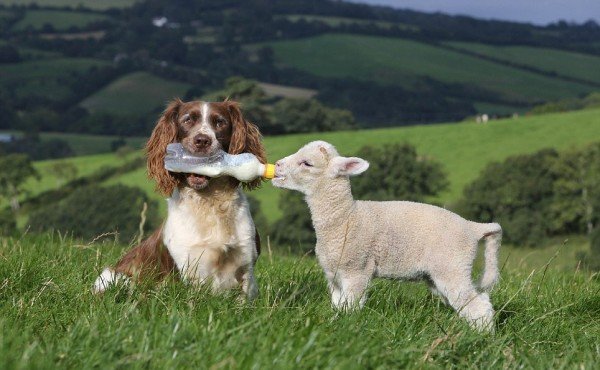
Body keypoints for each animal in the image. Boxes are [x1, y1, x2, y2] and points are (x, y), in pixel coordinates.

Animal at [93, 99, 264, 300]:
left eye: (220, 122)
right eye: (187, 120)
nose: (202, 140)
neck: (209, 203)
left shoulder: (245, 262)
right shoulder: (187, 268)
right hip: (116, 278)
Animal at [274, 142, 504, 332]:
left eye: (307, 163)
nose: (276, 165)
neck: (346, 218)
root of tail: (473, 227)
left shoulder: (357, 270)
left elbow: (351, 307)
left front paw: (347, 328)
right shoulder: (333, 275)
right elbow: (338, 306)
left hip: (452, 266)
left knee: (478, 305)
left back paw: (483, 338)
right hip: (439, 274)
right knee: (475, 302)